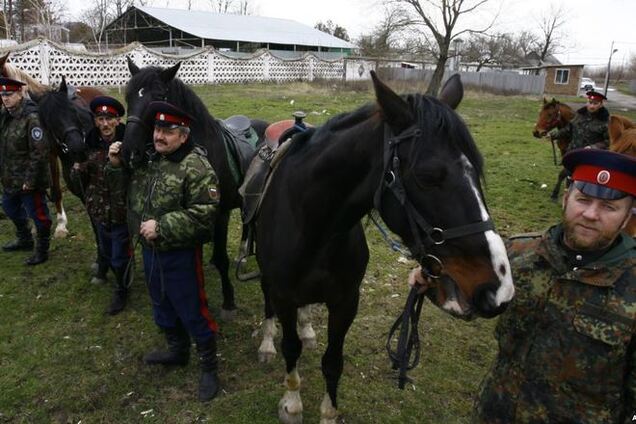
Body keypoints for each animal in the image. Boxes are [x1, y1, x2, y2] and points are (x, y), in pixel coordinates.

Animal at [251, 71, 516, 422]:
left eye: (477, 170)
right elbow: (290, 348)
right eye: (427, 176)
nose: (499, 287)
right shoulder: (284, 295)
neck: (312, 223)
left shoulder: (346, 301)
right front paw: (291, 403)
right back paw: (267, 343)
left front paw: (328, 413)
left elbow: (332, 362)